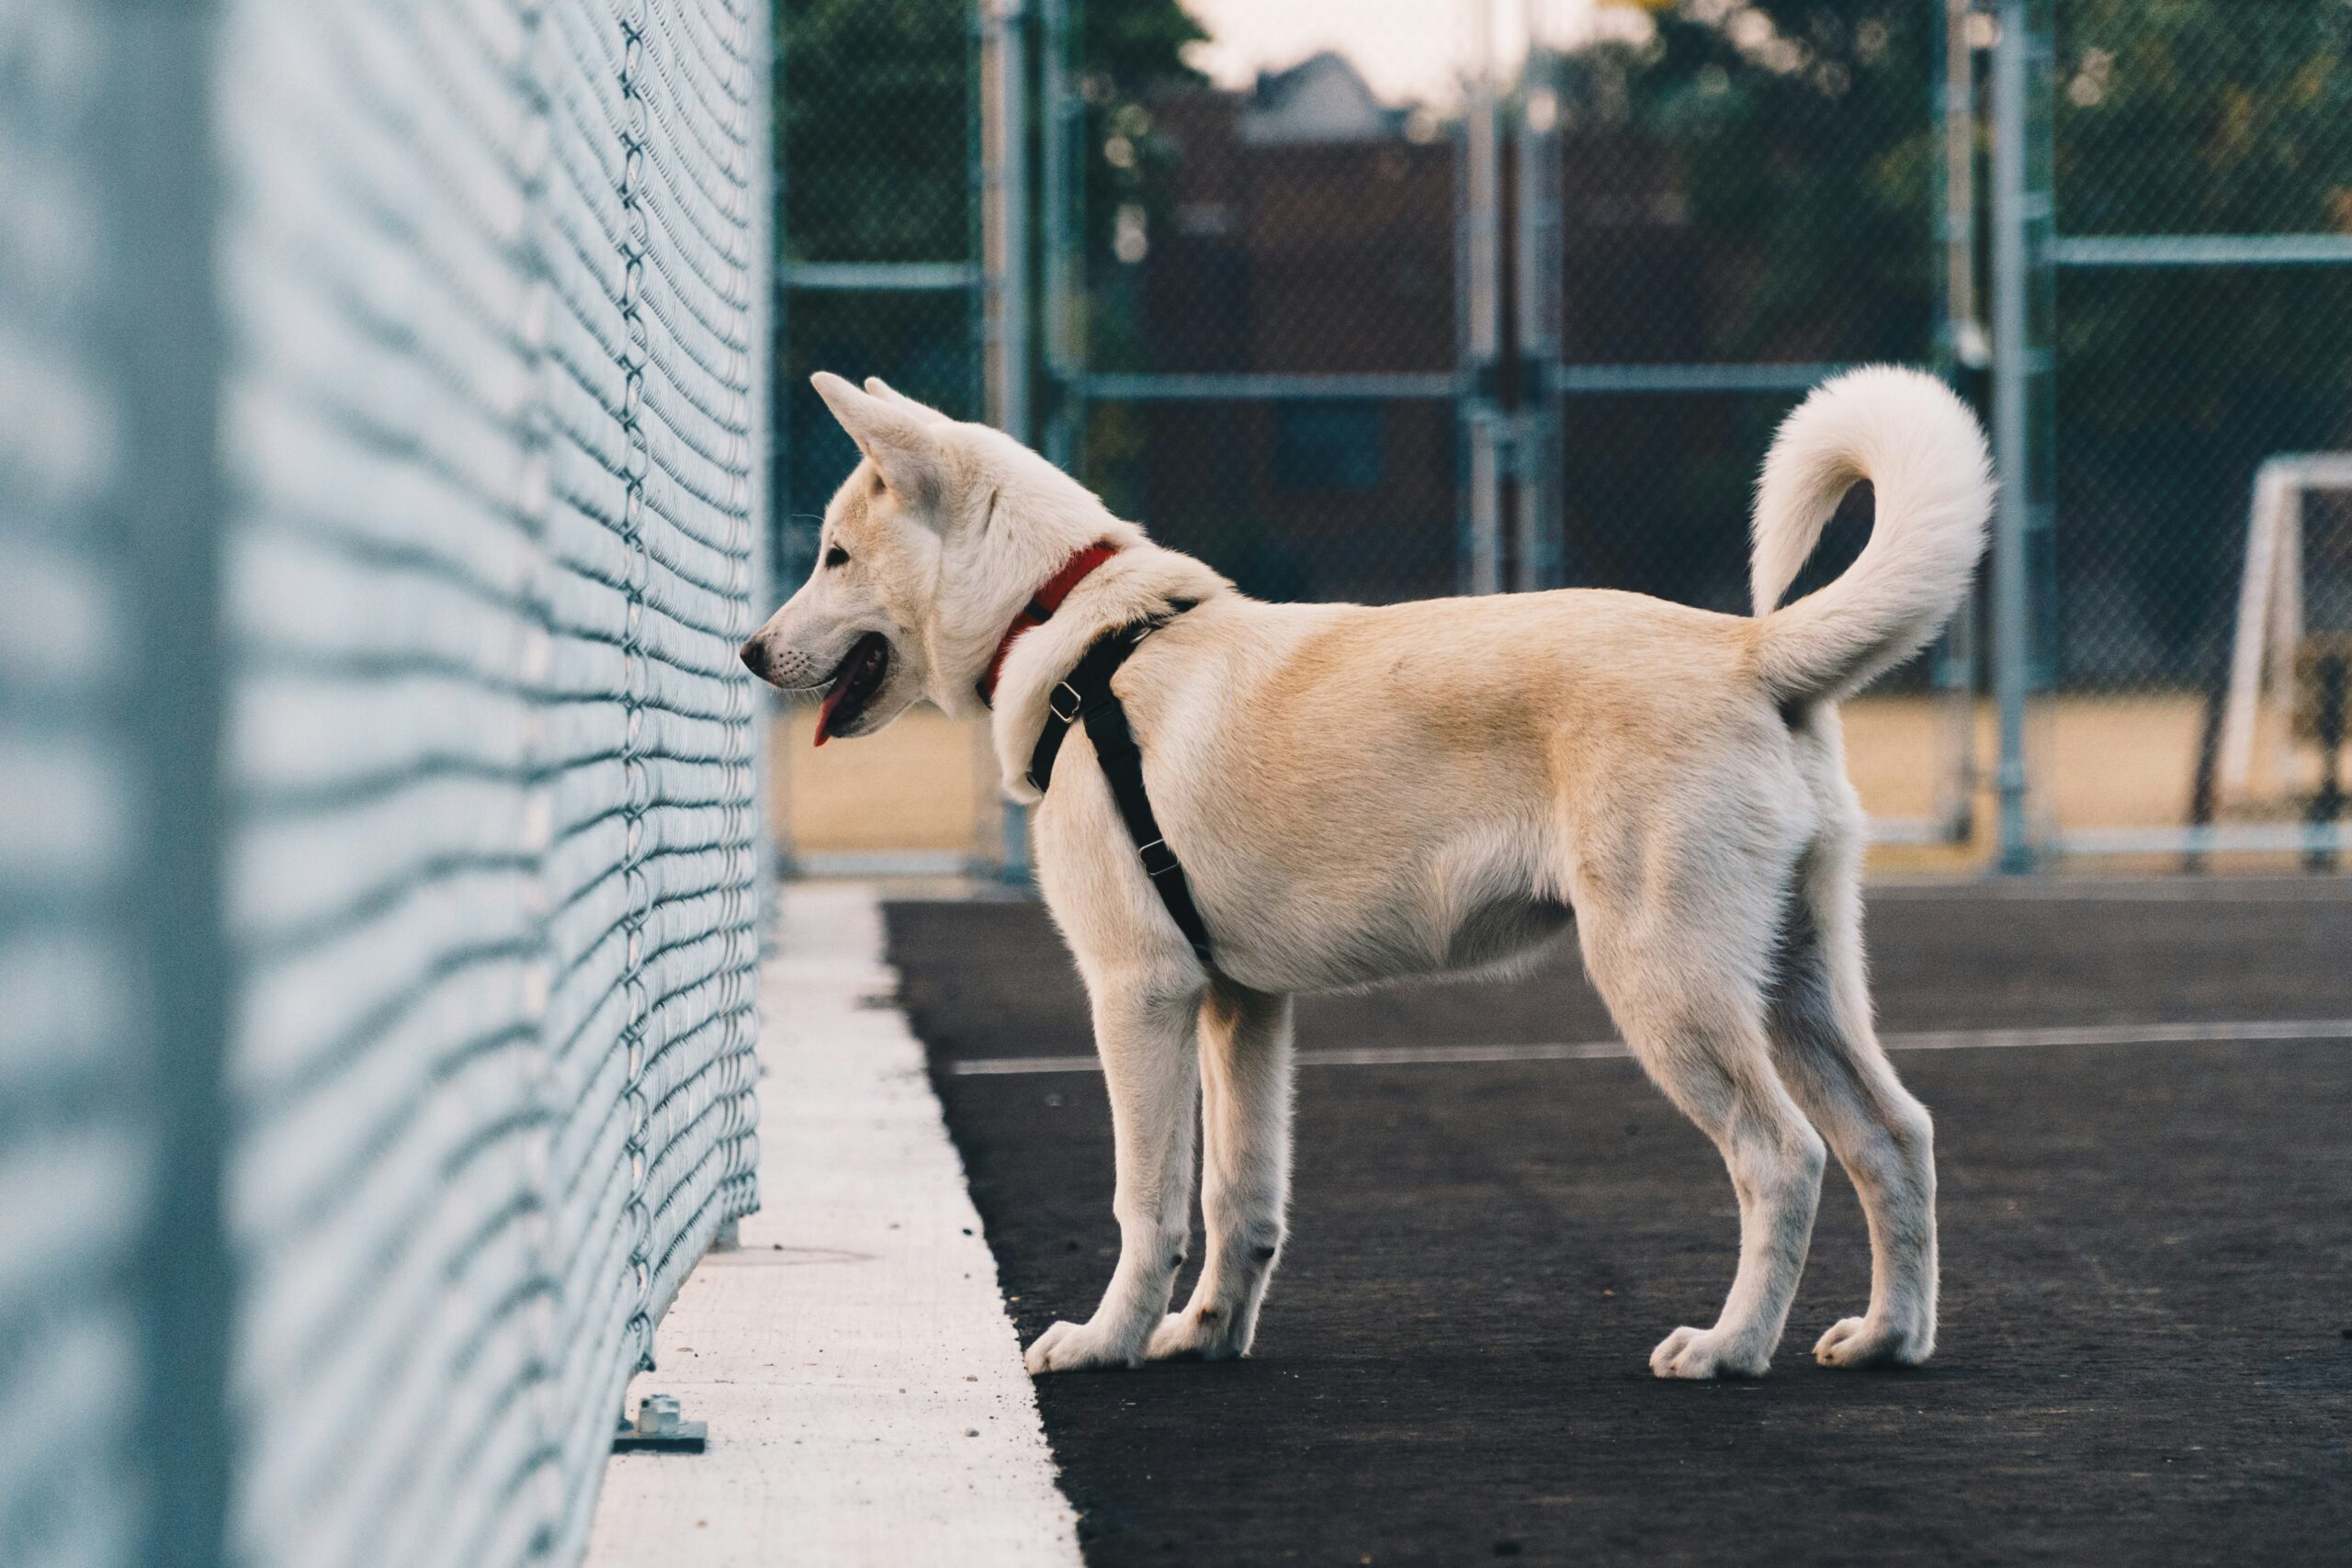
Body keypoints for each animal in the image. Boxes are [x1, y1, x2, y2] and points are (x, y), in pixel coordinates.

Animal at [748, 362, 1984, 1382]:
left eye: (834, 556)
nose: (751, 653)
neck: (1072, 636)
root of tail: (1749, 650)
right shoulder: (1242, 1008)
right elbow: (1240, 1197)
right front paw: (1204, 1335)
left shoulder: (1139, 993)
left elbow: (1147, 1200)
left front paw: (1107, 1342)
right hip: (1794, 983)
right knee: (1895, 1137)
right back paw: (1888, 1338)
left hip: (1667, 985)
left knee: (1782, 1158)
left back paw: (1729, 1347)